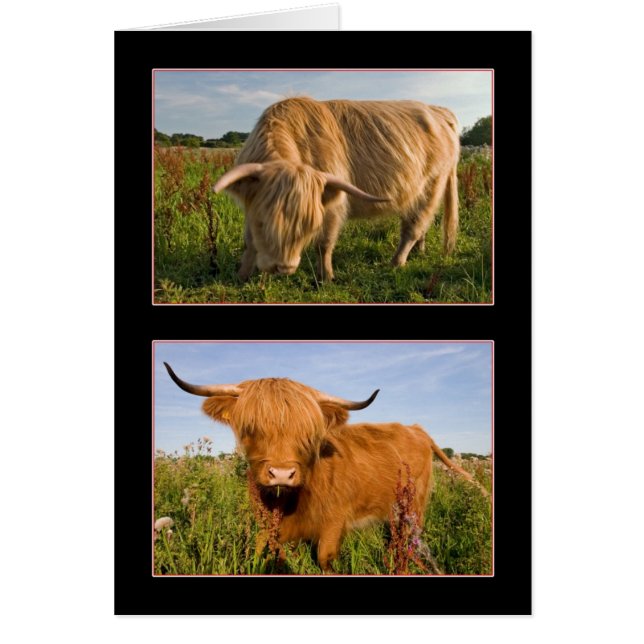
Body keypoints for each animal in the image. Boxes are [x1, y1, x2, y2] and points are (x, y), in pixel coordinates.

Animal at [164, 362, 480, 573]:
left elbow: (325, 559)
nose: (281, 474)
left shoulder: (334, 522)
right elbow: (269, 555)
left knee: (411, 538)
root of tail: (415, 428)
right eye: (250, 428)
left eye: (308, 433)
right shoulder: (268, 526)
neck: (290, 503)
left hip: (415, 504)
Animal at [213, 97, 460, 282]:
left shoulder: (333, 207)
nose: (284, 267)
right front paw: (242, 274)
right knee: (419, 223)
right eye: (262, 223)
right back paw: (420, 250)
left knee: (414, 226)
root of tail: (438, 111)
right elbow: (249, 241)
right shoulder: (252, 204)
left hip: (432, 185)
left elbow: (324, 244)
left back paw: (396, 262)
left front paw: (326, 278)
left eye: (309, 226)